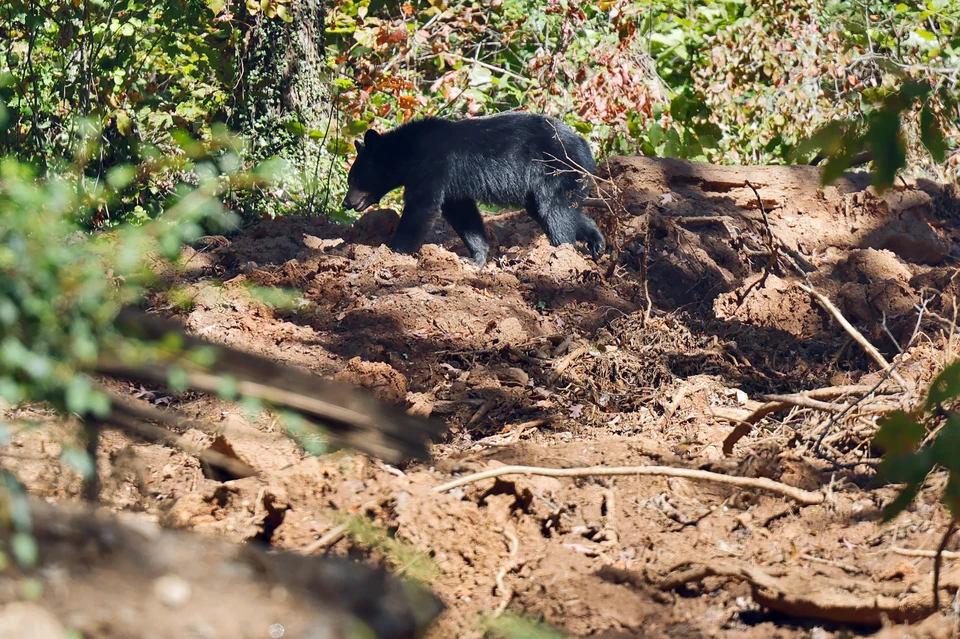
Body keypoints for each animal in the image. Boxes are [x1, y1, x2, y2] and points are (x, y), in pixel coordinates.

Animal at [342, 111, 604, 266]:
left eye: (356, 178)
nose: (346, 202)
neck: (408, 151)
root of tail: (586, 148)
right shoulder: (453, 186)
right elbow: (464, 215)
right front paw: (475, 257)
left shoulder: (434, 165)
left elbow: (422, 206)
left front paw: (393, 250)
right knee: (557, 211)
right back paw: (597, 243)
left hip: (556, 171)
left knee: (555, 212)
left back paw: (561, 254)